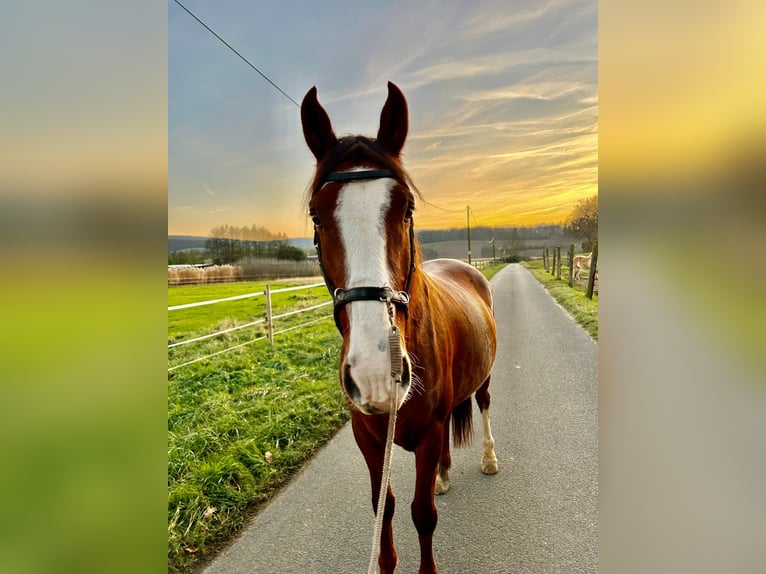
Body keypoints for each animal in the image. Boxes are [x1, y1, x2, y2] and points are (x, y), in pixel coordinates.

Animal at [304, 82, 500, 574]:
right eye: (317, 215)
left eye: (407, 207)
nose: (376, 374)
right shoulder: (370, 439)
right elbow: (385, 509)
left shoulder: (427, 435)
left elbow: (422, 513)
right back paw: (445, 473)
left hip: (486, 378)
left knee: (484, 405)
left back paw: (489, 458)